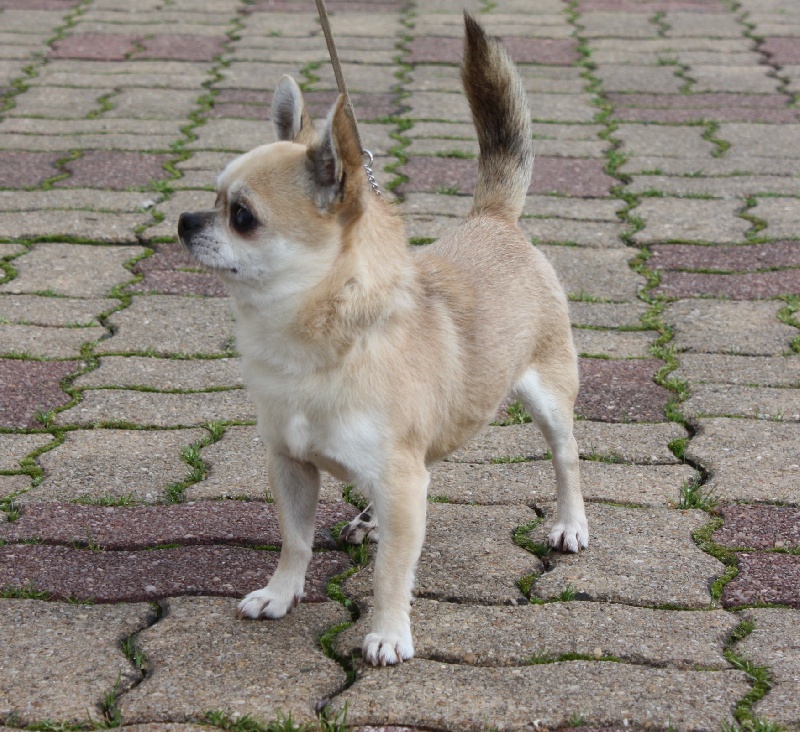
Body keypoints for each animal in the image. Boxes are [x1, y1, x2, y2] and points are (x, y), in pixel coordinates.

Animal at [178, 13, 588, 667]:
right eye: (213, 198)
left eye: (242, 216)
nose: (184, 221)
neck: (314, 344)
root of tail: (492, 217)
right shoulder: (292, 465)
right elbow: (295, 540)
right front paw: (280, 593)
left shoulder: (399, 479)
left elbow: (391, 571)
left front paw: (388, 632)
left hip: (548, 394)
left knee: (565, 457)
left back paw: (571, 523)